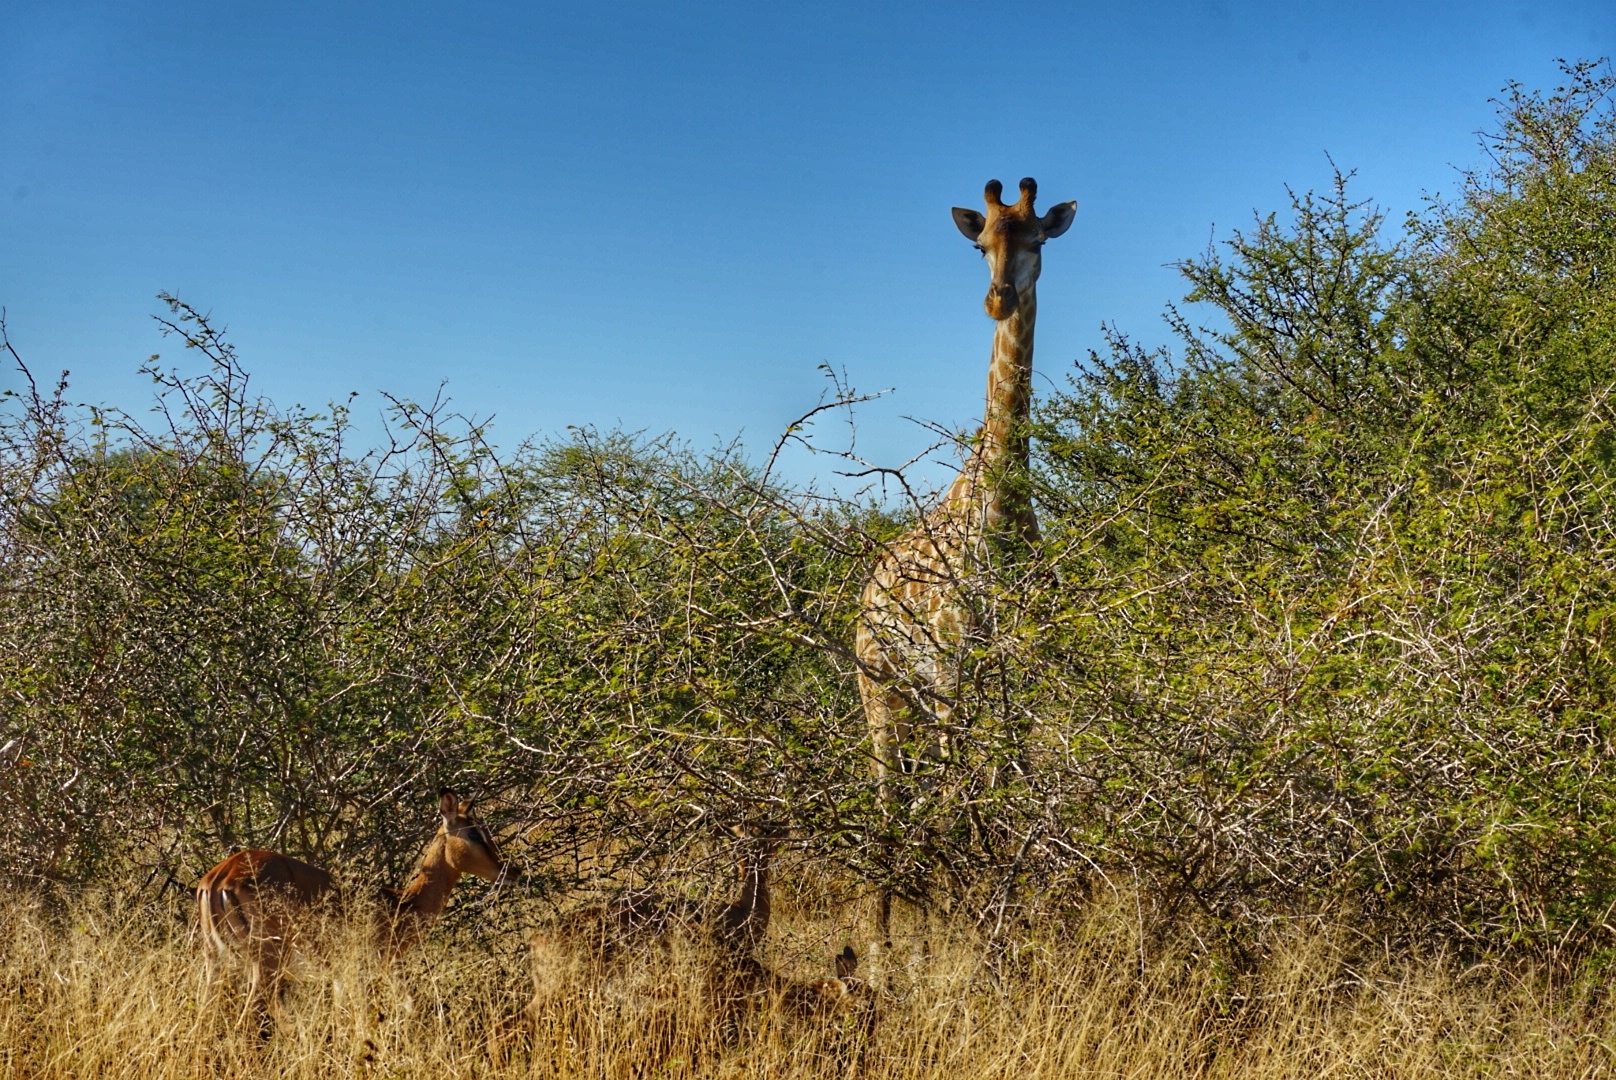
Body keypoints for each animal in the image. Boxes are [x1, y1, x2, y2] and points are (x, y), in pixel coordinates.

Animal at [194, 788, 500, 1028]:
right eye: (474, 833)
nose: (507, 870)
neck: (400, 904)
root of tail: (219, 877)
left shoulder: (340, 976)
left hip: (215, 963)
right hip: (265, 966)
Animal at [853, 177, 1079, 950]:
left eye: (1038, 239)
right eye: (980, 245)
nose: (997, 301)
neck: (1001, 514)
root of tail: (864, 591)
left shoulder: (1022, 675)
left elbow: (1014, 785)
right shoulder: (954, 668)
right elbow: (962, 794)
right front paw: (973, 912)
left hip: (922, 697)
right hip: (883, 686)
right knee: (890, 798)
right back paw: (885, 934)